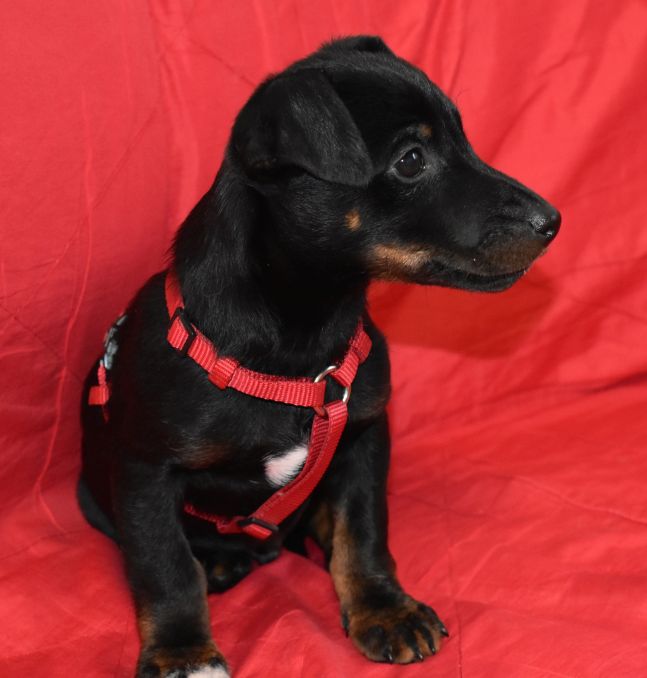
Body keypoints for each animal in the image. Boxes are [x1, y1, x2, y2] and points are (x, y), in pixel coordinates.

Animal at [78, 35, 560, 677]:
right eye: (411, 160)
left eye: (464, 139)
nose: (553, 221)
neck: (301, 343)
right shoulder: (144, 471)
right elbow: (165, 568)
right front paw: (183, 649)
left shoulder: (364, 436)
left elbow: (363, 530)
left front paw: (383, 609)